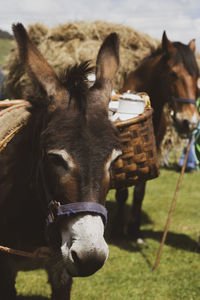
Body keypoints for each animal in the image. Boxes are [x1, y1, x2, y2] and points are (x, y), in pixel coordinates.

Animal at [114, 31, 200, 241]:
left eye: (197, 75)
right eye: (173, 73)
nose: (191, 122)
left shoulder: (149, 152)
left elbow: (139, 191)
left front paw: (134, 230)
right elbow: (122, 192)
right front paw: (118, 229)